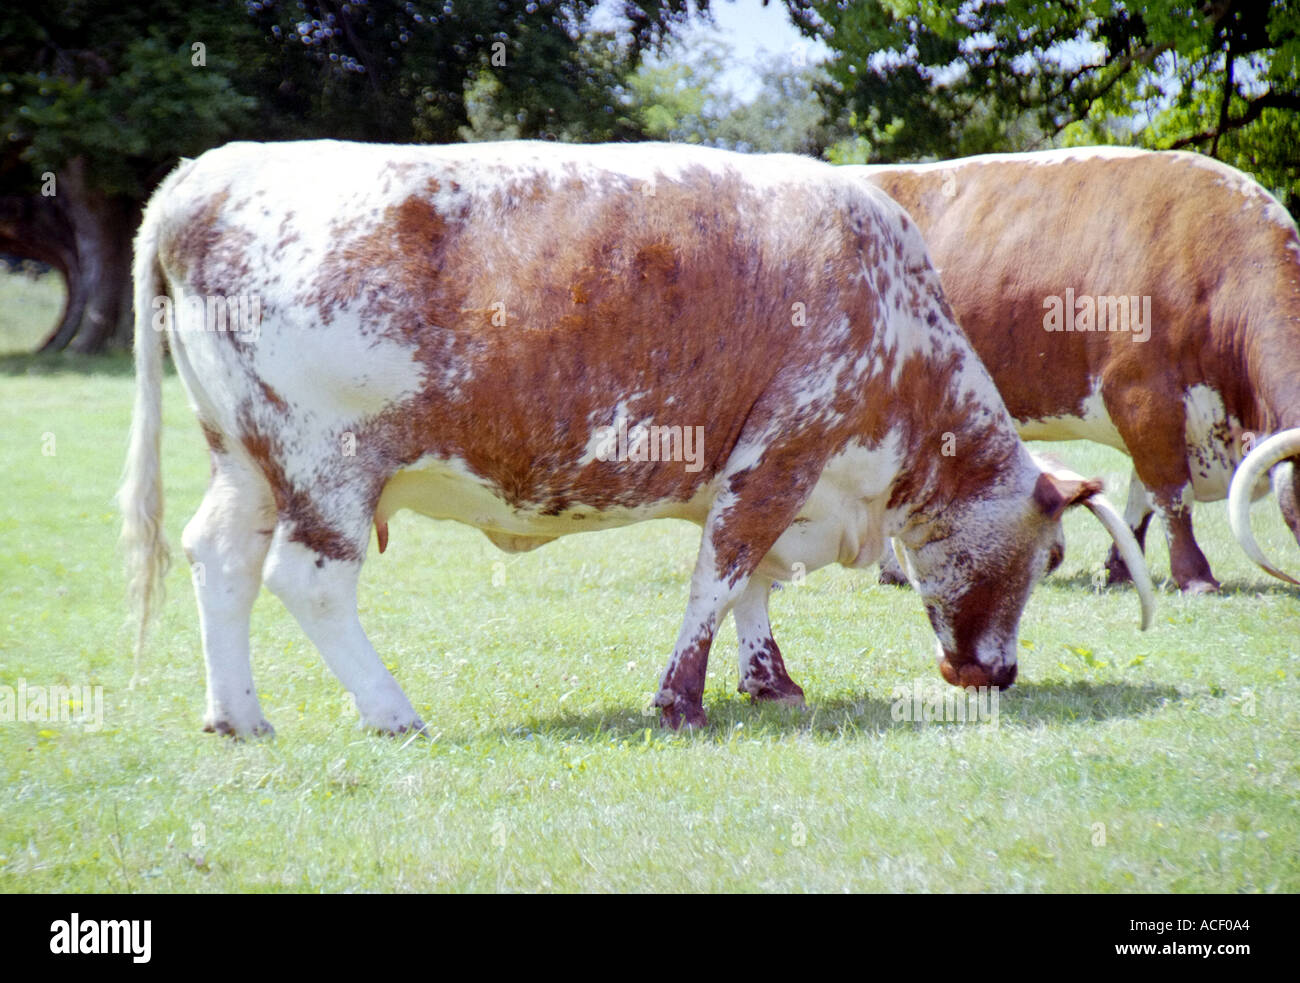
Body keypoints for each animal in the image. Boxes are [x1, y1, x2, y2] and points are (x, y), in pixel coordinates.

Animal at [114, 142, 1149, 733]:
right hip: (329, 462)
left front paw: (771, 682)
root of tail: (205, 174)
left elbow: (752, 583)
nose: (998, 673)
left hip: (244, 456)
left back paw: (238, 716)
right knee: (309, 579)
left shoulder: (764, 473)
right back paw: (392, 710)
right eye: (1050, 555)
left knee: (218, 557)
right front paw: (680, 700)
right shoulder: (785, 447)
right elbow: (720, 575)